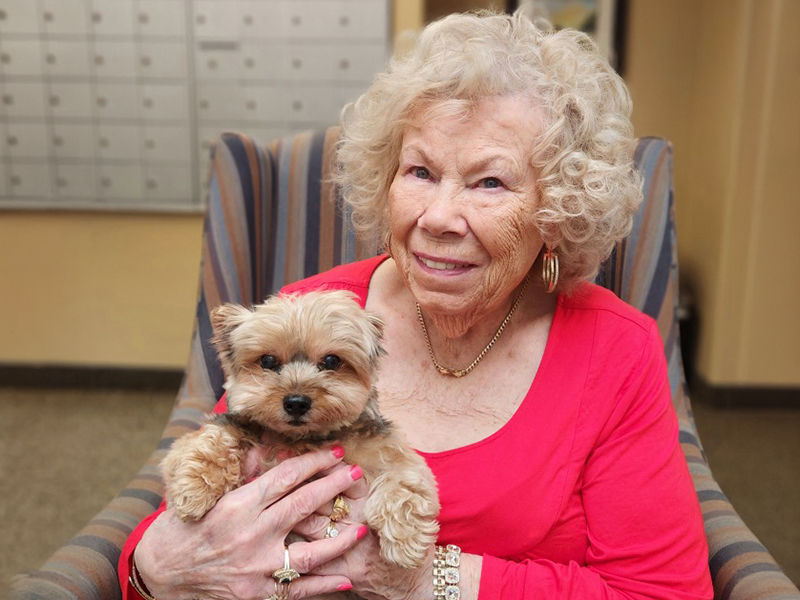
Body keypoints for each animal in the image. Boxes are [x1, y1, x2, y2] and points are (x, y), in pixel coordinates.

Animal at [160, 290, 440, 568]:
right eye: (268, 360)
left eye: (331, 360)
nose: (296, 402)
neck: (301, 439)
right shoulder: (208, 437)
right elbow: (209, 441)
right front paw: (196, 489)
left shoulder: (384, 449)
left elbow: (405, 481)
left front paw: (405, 539)